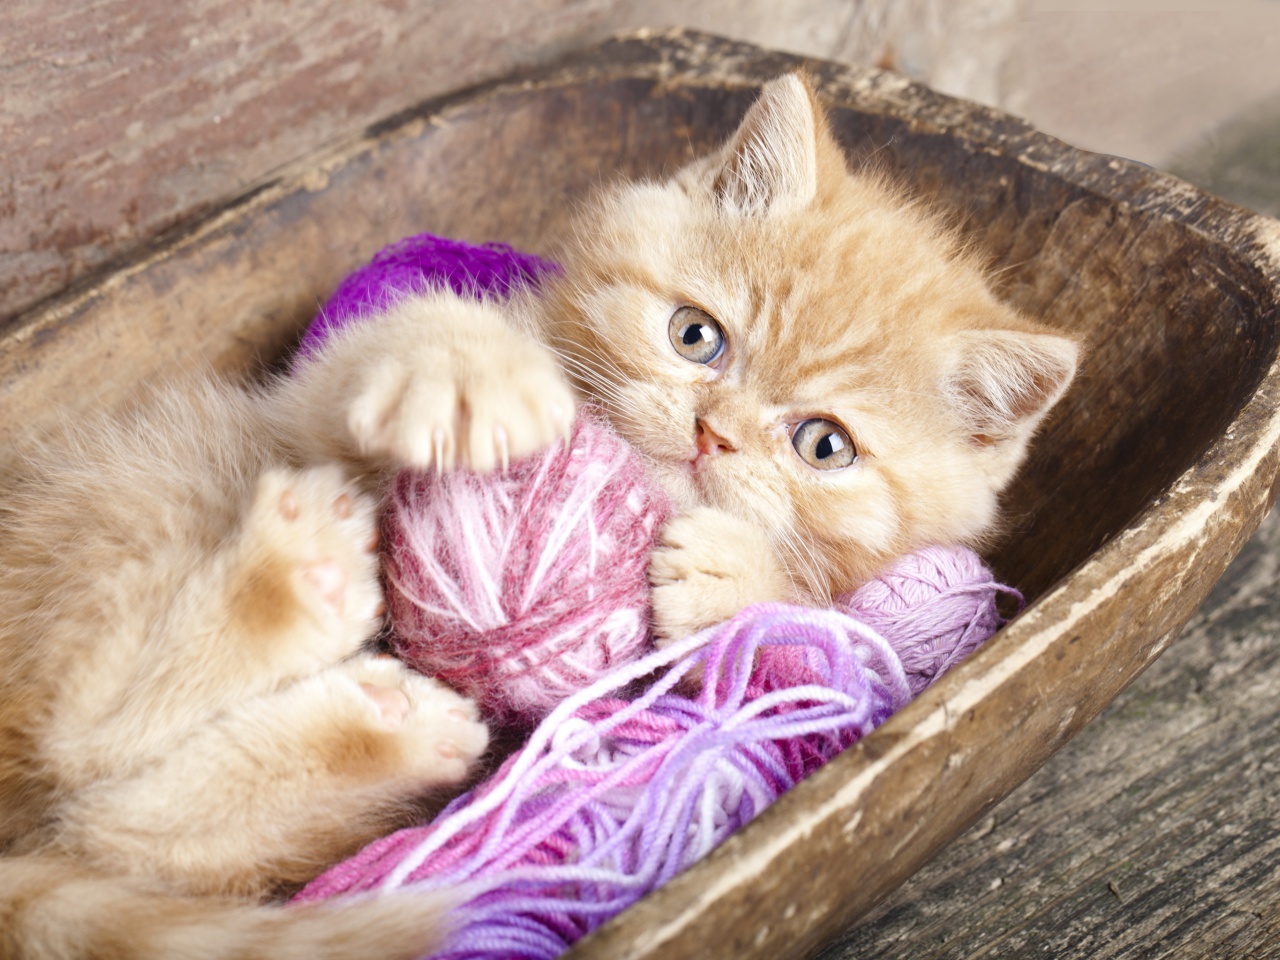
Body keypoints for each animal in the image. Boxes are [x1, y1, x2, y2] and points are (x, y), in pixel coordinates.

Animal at [0, 73, 1075, 957]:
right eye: (696, 336)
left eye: (824, 446)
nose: (712, 434)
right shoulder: (306, 403)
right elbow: (389, 346)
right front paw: (465, 368)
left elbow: (817, 649)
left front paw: (741, 576)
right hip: (142, 497)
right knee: (81, 739)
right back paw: (297, 583)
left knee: (119, 822)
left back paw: (375, 703)